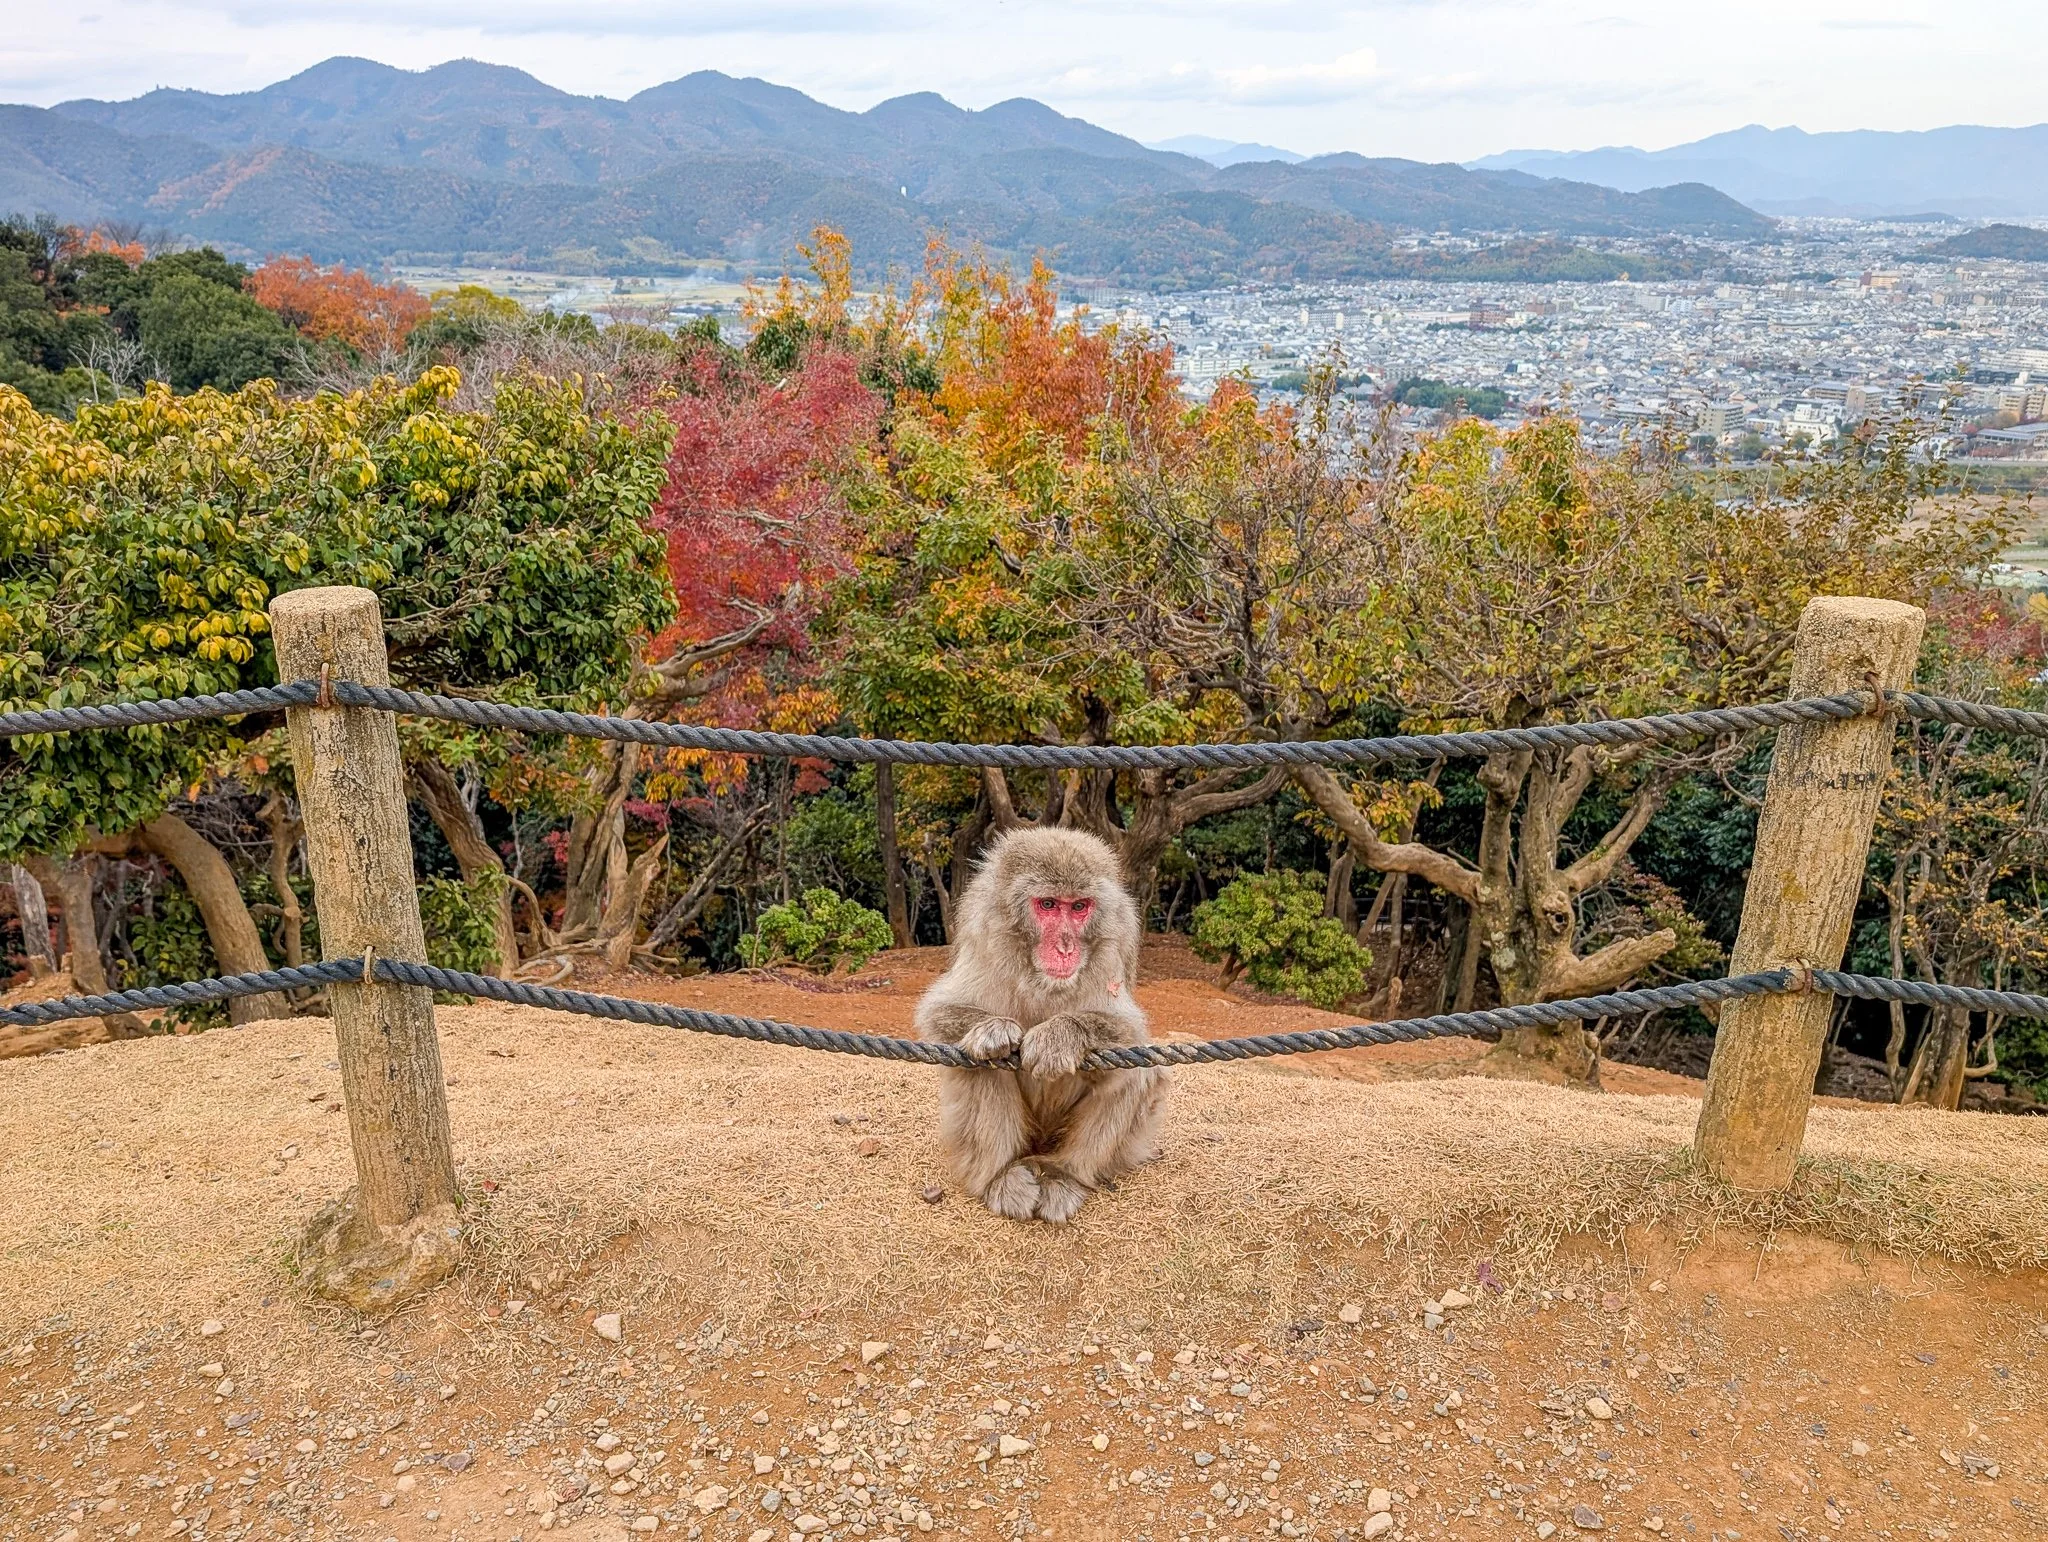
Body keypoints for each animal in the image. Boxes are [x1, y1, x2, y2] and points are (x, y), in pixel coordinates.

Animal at [915, 827, 1169, 1223]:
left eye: (1079, 907)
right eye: (1048, 905)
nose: (1065, 947)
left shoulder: (1114, 942)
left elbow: (1130, 1033)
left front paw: (1060, 1036)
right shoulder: (985, 934)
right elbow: (939, 1011)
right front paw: (993, 1030)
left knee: (1135, 1071)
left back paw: (1064, 1174)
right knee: (981, 1067)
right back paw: (1000, 1175)